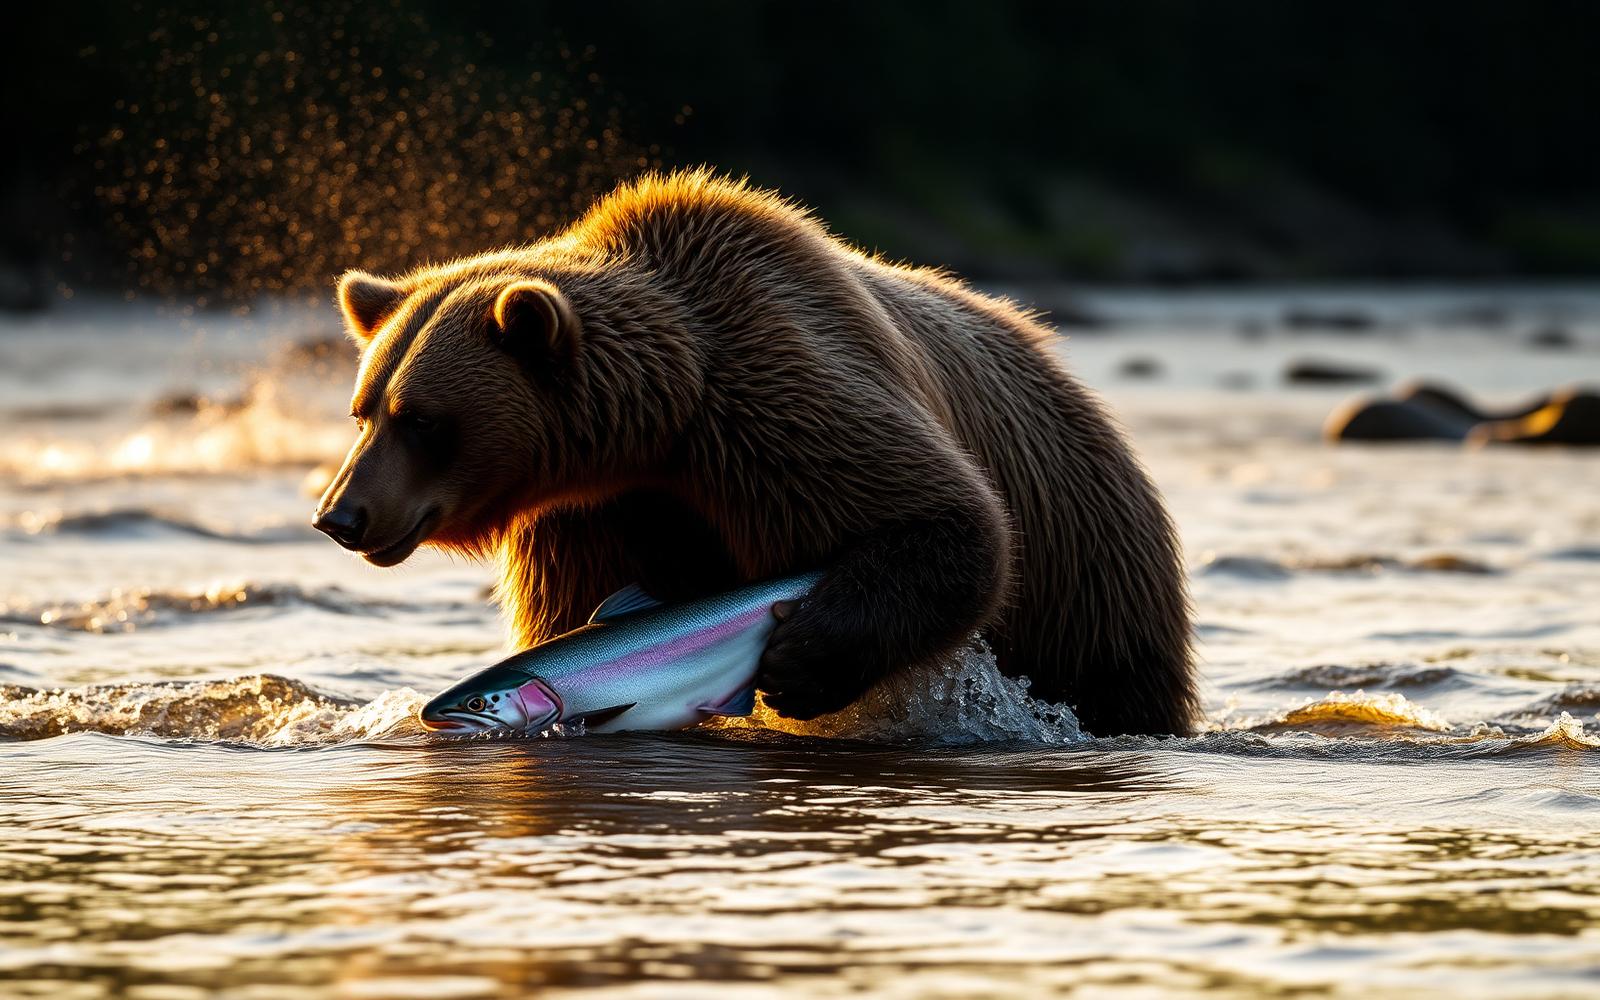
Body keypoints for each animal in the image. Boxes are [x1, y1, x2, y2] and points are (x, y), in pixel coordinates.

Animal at [313, 170, 1197, 735]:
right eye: (363, 410)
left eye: (422, 419)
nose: (340, 515)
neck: (657, 429)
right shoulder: (592, 512)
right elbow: (575, 609)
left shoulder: (777, 405)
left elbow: (947, 522)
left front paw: (801, 659)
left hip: (1086, 569)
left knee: (1115, 677)